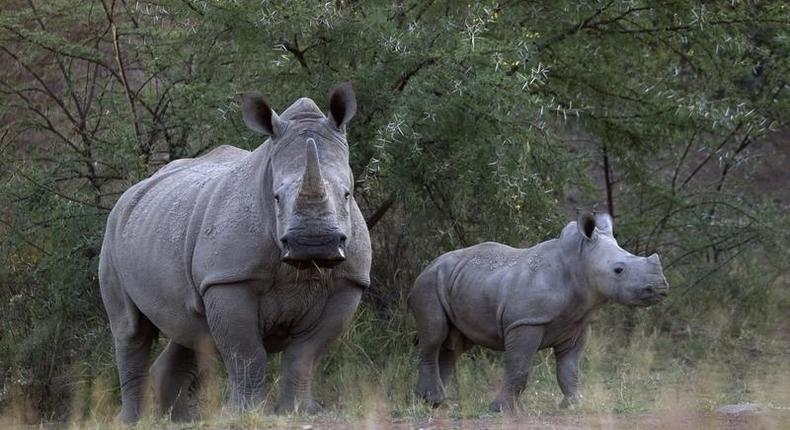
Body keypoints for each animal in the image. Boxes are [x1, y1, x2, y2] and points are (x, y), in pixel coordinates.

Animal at [99, 82, 372, 422]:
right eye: (276, 197)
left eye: (347, 194)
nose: (313, 243)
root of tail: (132, 191)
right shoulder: (228, 279)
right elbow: (246, 352)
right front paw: (243, 413)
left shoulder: (348, 283)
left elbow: (304, 355)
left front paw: (298, 411)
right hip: (113, 232)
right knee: (131, 329)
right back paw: (134, 420)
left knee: (190, 328)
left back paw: (180, 420)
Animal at [412, 213, 672, 412]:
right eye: (618, 270)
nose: (660, 287)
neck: (578, 262)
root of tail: (428, 265)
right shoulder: (526, 322)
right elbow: (519, 367)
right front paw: (500, 410)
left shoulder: (577, 325)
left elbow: (570, 370)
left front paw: (574, 405)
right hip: (428, 283)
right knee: (435, 336)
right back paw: (434, 401)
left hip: (455, 281)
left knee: (453, 344)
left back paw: (435, 403)